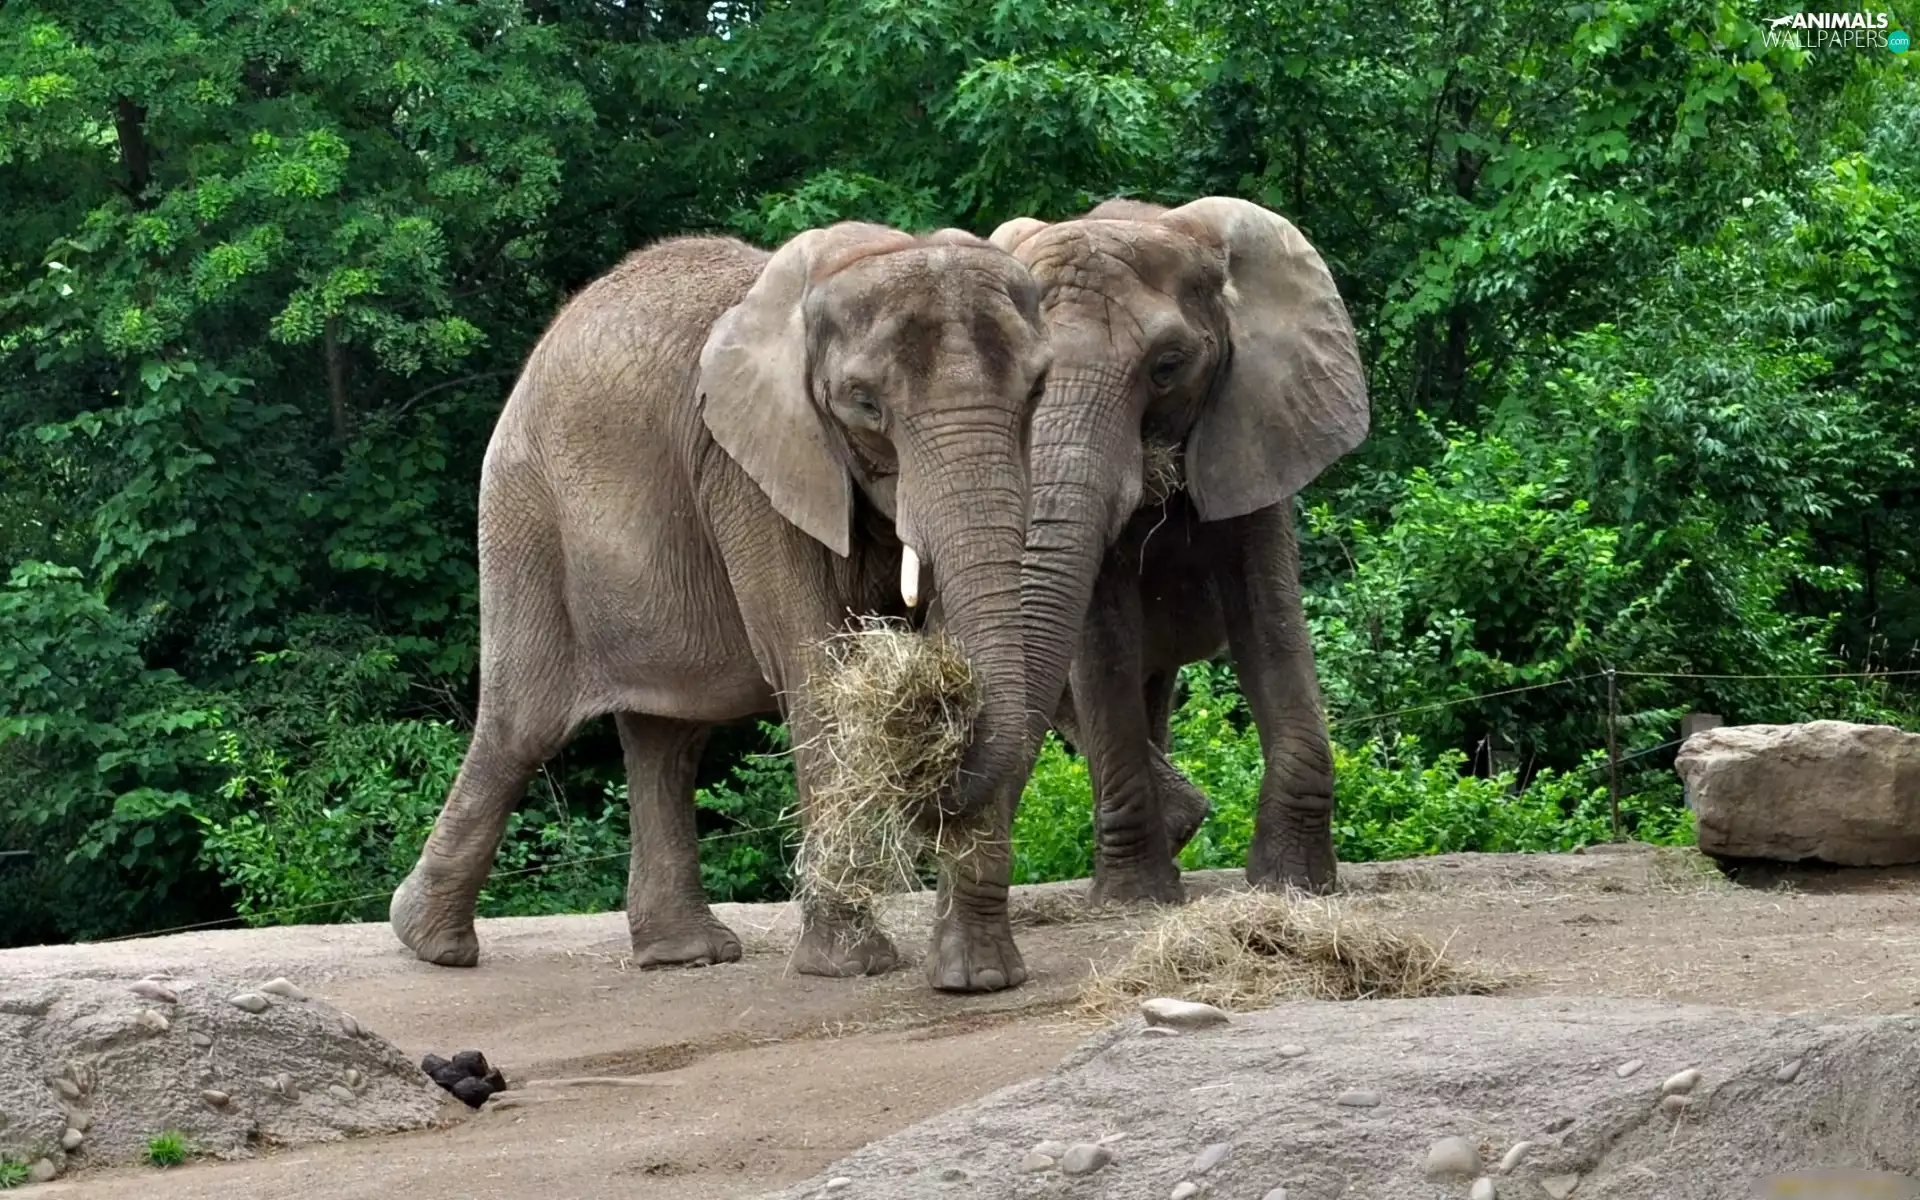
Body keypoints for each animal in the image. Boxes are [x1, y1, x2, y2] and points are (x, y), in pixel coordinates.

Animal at [388, 221, 1059, 992]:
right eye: (864, 403)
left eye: (1038, 390)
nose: (930, 770)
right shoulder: (745, 469)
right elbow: (810, 661)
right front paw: (850, 968)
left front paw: (977, 979)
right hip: (524, 513)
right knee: (521, 727)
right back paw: (430, 944)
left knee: (667, 741)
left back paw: (683, 955)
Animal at [990, 196, 1369, 906]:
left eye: (1167, 366)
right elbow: (1100, 645)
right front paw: (1136, 898)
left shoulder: (1256, 422)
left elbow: (1269, 625)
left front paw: (1293, 884)